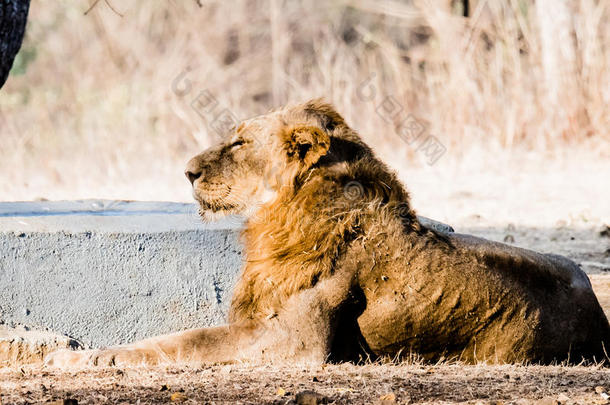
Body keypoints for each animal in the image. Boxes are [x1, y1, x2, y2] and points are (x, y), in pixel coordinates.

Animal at [46, 98, 608, 366]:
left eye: (240, 142)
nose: (187, 172)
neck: (279, 214)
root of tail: (599, 320)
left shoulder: (292, 343)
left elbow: (180, 342)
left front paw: (83, 358)